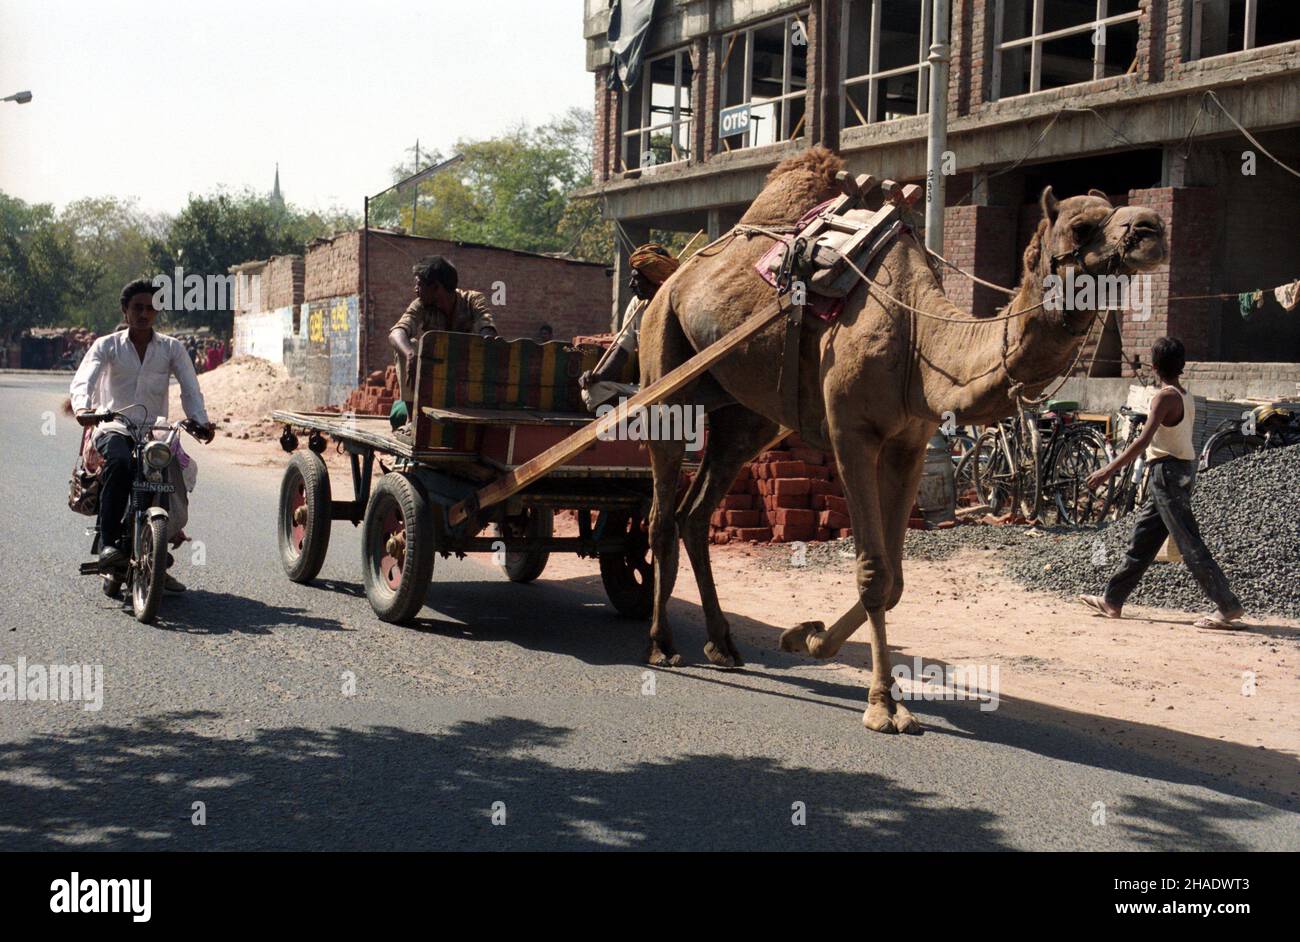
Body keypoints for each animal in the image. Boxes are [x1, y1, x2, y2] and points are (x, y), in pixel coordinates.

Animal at [637, 146, 1170, 732]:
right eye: (1082, 225)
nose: (1151, 226)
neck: (921, 341)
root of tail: (671, 281)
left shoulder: (911, 444)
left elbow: (894, 581)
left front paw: (806, 637)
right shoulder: (851, 432)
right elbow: (873, 573)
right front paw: (881, 706)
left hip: (745, 414)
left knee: (696, 511)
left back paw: (723, 645)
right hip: (663, 368)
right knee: (661, 513)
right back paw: (662, 644)